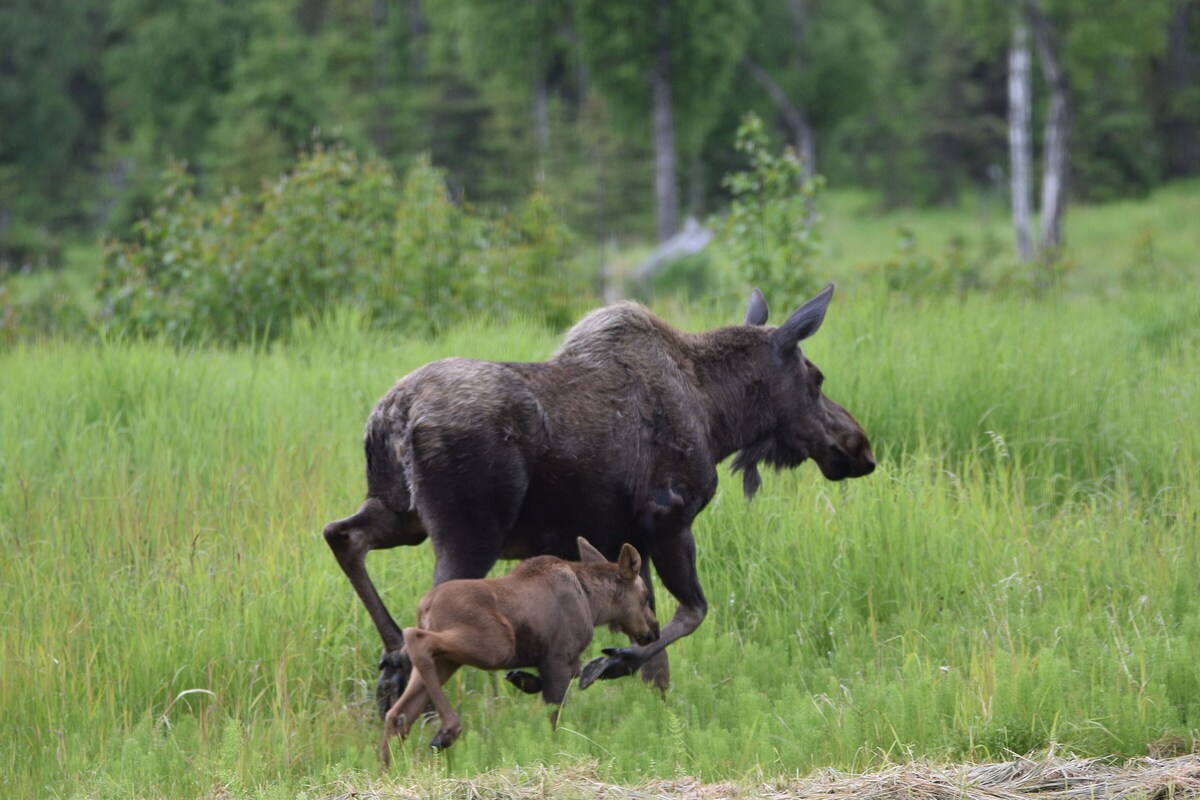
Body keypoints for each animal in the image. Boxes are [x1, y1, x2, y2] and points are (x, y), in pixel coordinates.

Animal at [324, 284, 878, 714]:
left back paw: (390, 663)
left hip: (403, 514)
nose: (861, 448)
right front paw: (605, 665)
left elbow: (656, 647)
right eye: (817, 379)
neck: (718, 416)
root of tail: (395, 415)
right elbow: (689, 614)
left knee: (343, 535)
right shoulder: (668, 517)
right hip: (469, 532)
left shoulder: (628, 538)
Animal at [381, 537, 657, 758]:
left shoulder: (562, 661)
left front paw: (523, 678)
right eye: (645, 596)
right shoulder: (558, 658)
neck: (593, 604)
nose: (653, 630)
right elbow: (555, 716)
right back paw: (447, 731)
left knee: (397, 714)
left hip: (448, 660)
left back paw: (391, 770)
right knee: (414, 637)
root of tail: (424, 607)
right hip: (495, 645)